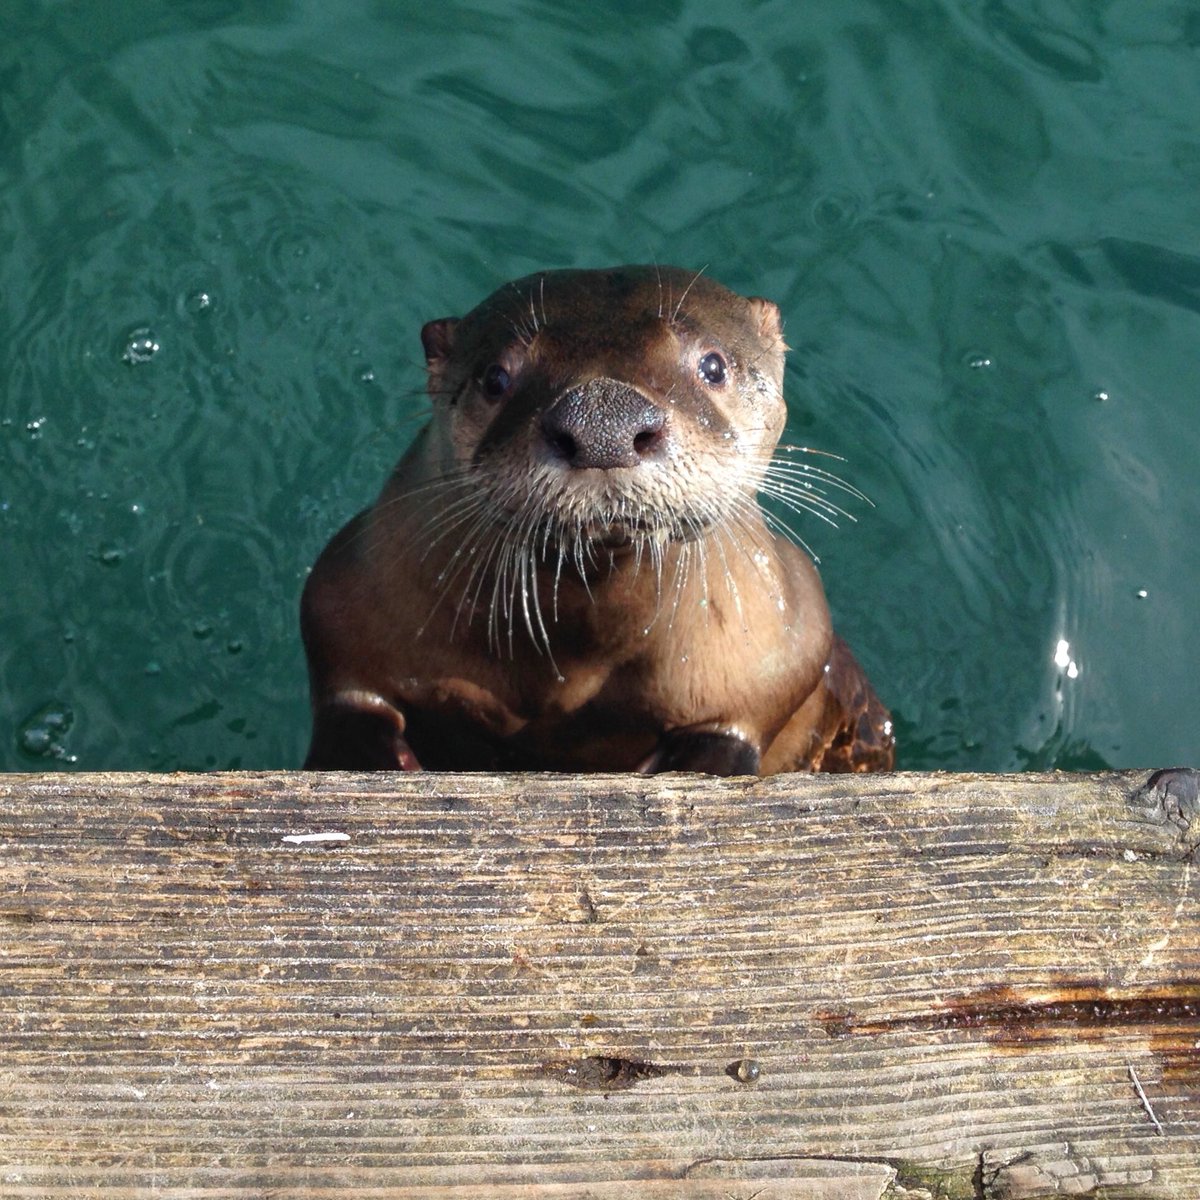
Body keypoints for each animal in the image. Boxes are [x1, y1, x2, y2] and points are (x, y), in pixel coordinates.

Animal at [301, 266, 893, 775]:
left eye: (714, 366)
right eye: (494, 378)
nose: (603, 420)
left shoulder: (774, 647)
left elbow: (738, 726)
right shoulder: (347, 601)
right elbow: (352, 700)